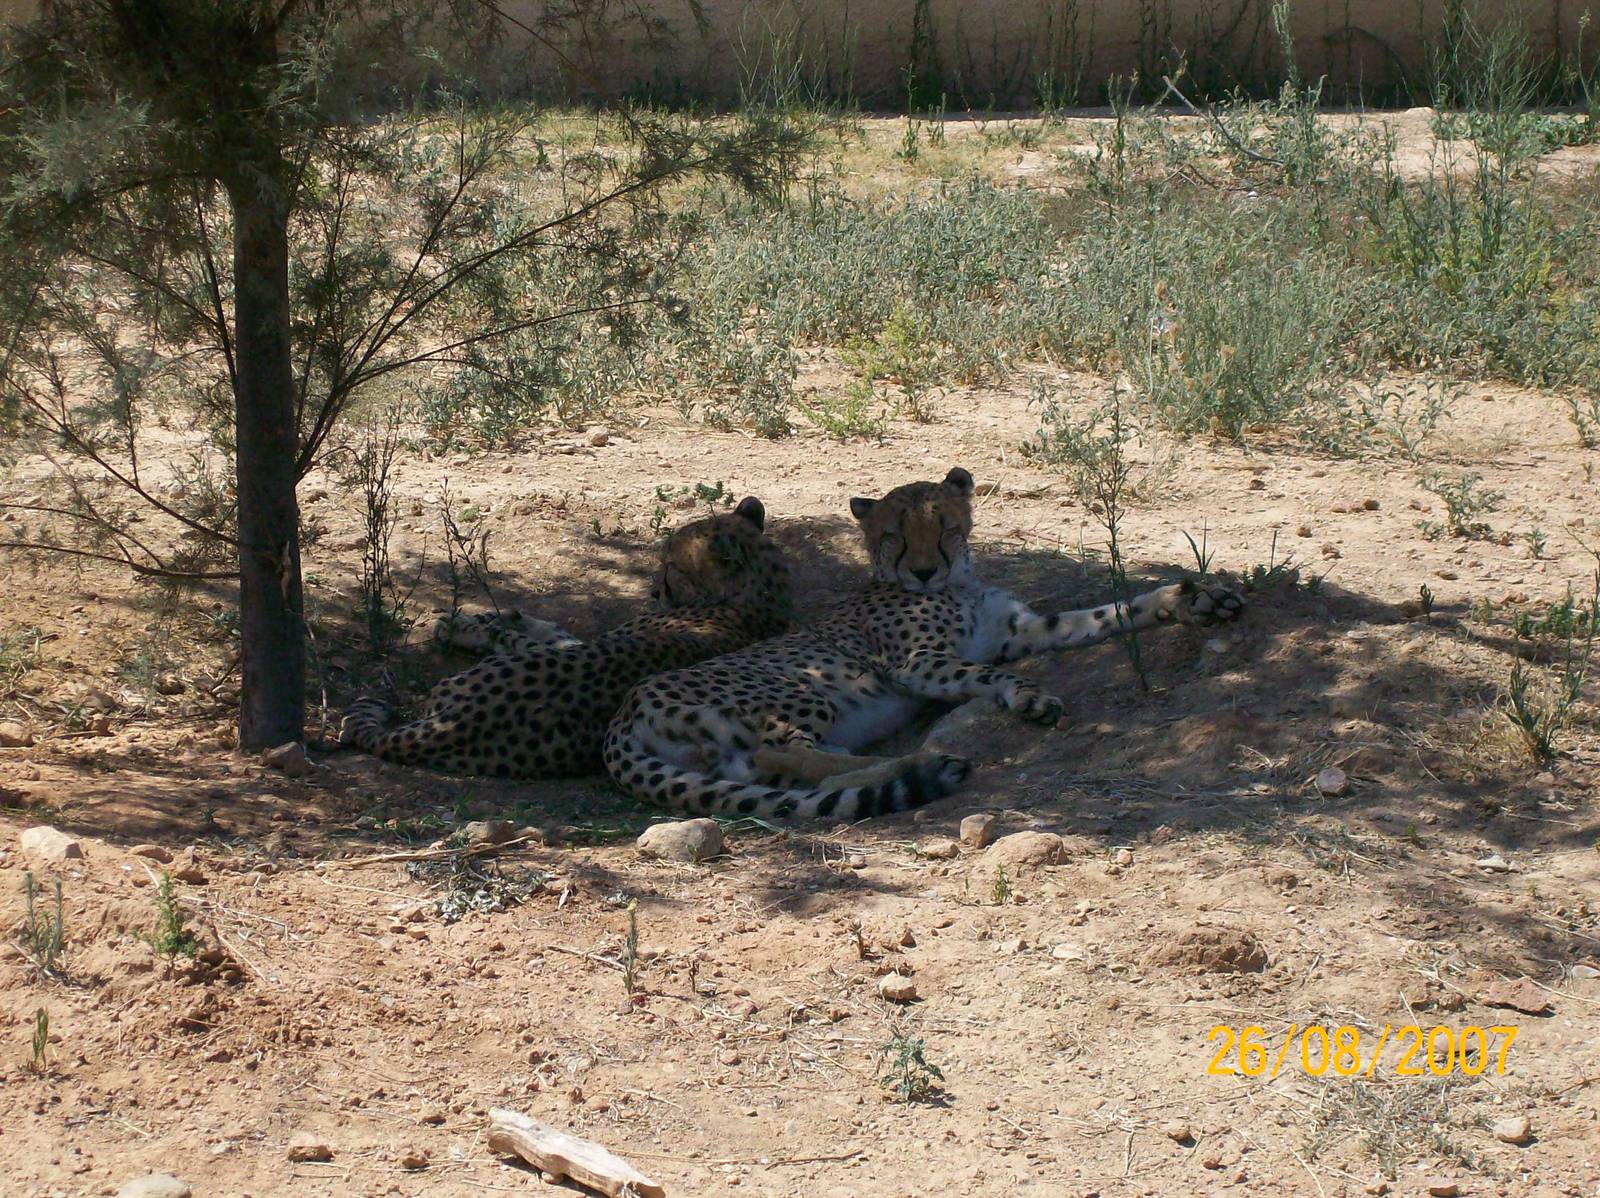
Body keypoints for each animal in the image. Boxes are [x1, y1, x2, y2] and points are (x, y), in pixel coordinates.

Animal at [340, 496, 791, 778]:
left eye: (668, 564)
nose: (652, 592)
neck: (757, 597)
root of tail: (456, 724)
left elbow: (527, 637)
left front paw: (464, 625)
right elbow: (552, 629)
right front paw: (502, 615)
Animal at [602, 466, 1245, 822]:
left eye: (943, 527)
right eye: (893, 535)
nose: (923, 571)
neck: (956, 584)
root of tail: (623, 713)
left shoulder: (1019, 633)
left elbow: (1106, 614)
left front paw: (1190, 600)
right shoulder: (918, 663)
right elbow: (992, 677)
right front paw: (1030, 697)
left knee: (800, 774)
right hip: (799, 692)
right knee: (790, 758)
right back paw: (923, 763)